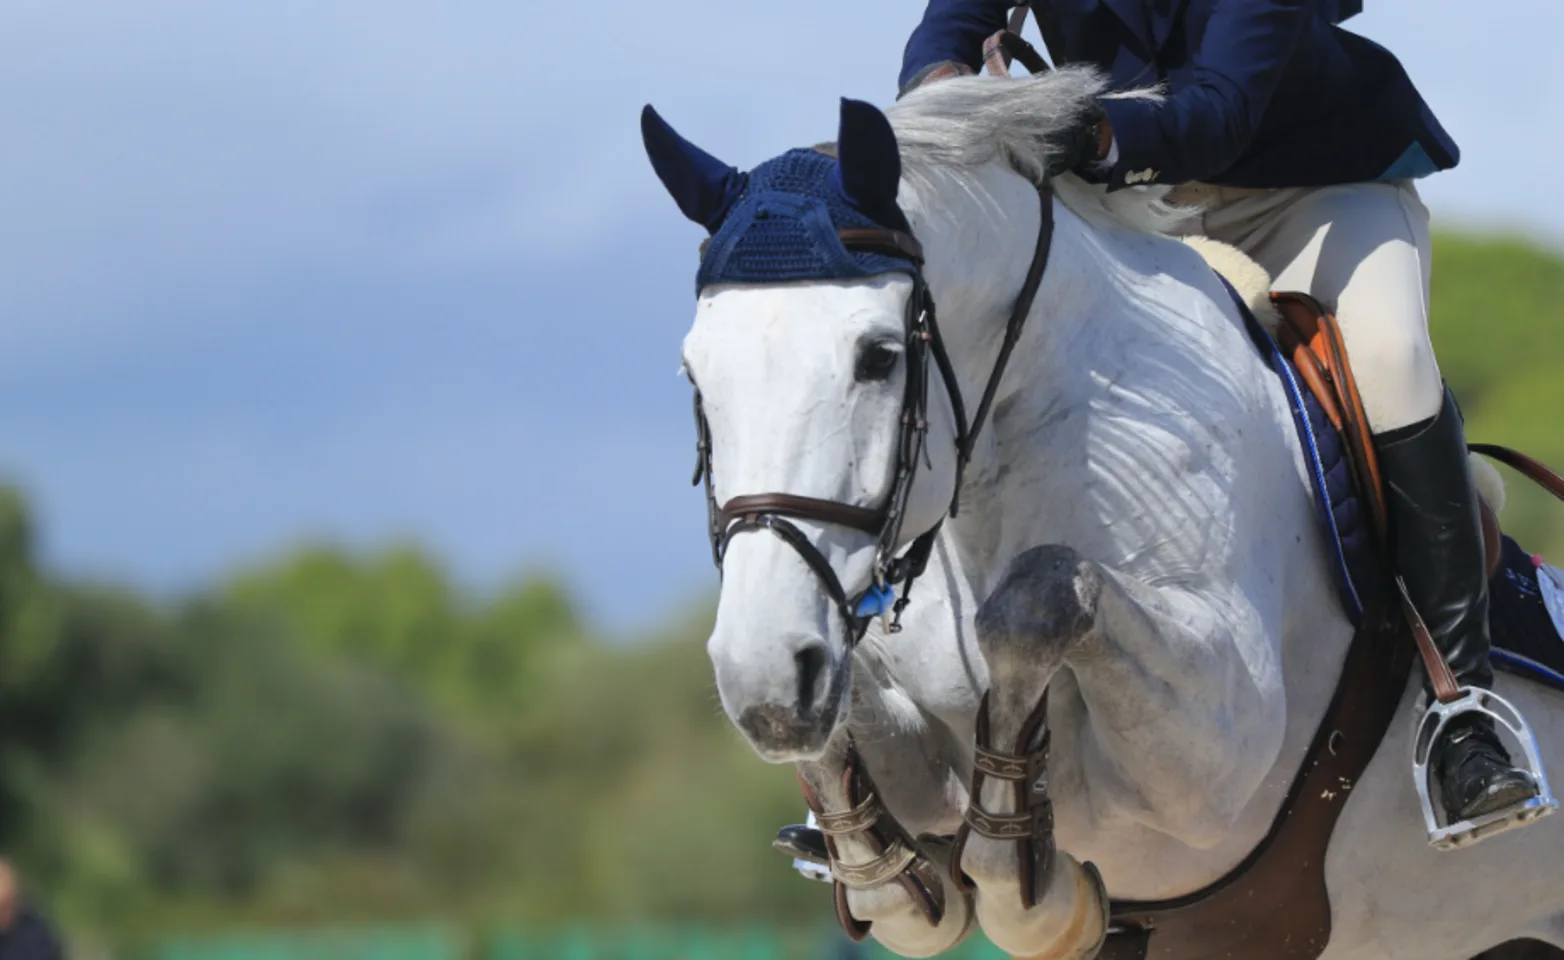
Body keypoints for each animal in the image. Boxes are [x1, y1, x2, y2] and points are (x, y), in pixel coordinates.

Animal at [642, 67, 1564, 958]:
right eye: (695, 373)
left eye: (879, 357)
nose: (765, 684)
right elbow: (866, 760)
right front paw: (907, 866)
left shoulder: (1216, 750)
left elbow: (1041, 594)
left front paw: (1030, 885)